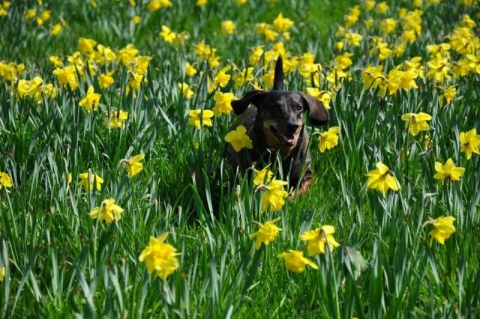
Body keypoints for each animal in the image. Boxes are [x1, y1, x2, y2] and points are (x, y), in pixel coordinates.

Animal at [229, 56, 330, 195]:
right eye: (275, 107)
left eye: (298, 107)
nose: (293, 126)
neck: (282, 152)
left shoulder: (306, 173)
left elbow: (299, 188)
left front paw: (290, 196)